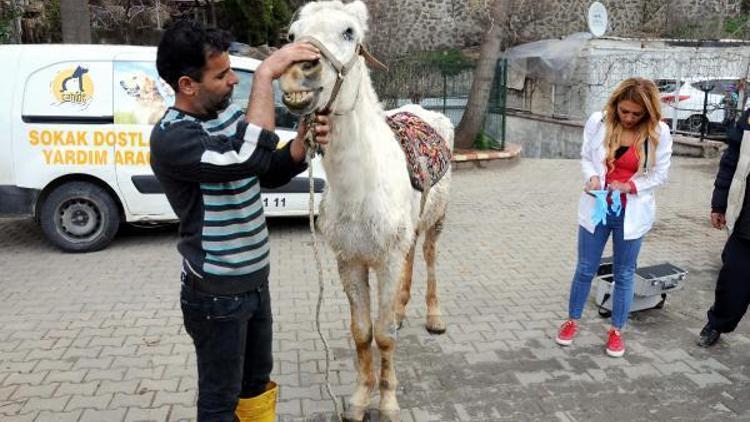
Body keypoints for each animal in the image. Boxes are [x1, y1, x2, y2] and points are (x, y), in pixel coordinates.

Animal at [280, 1, 452, 420]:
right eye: (292, 35)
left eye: (349, 33)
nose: (298, 72)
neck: (361, 189)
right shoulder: (351, 262)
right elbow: (362, 333)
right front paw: (360, 399)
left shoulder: (385, 261)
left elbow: (384, 335)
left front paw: (387, 403)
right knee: (411, 259)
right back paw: (404, 312)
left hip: (436, 223)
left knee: (429, 258)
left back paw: (434, 318)